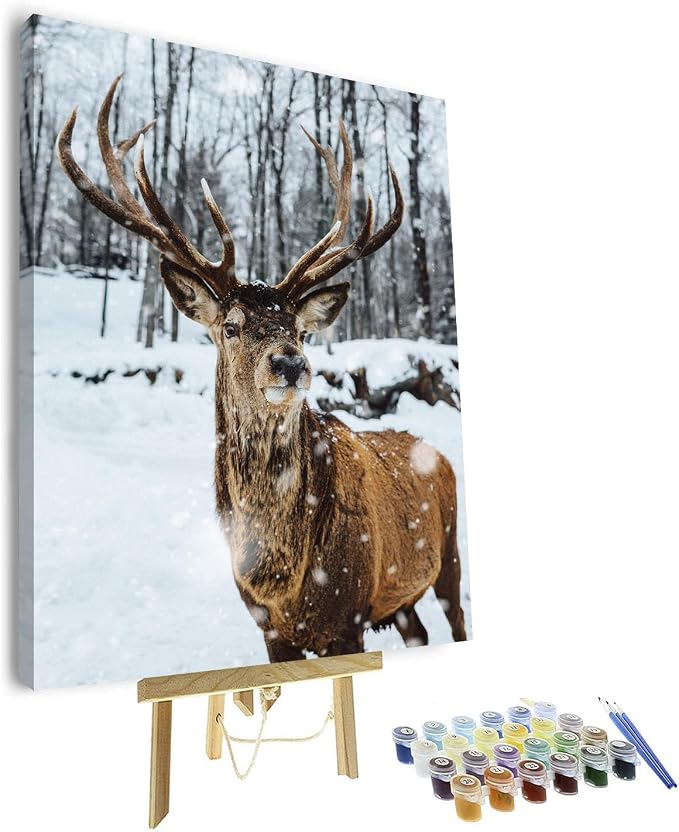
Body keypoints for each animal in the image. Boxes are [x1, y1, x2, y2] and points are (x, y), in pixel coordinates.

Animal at [57, 76, 467, 662]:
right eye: (230, 326)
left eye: (299, 328)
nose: (290, 362)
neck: (281, 578)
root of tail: (438, 453)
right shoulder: (268, 629)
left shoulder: (350, 617)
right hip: (403, 600)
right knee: (421, 633)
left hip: (450, 556)